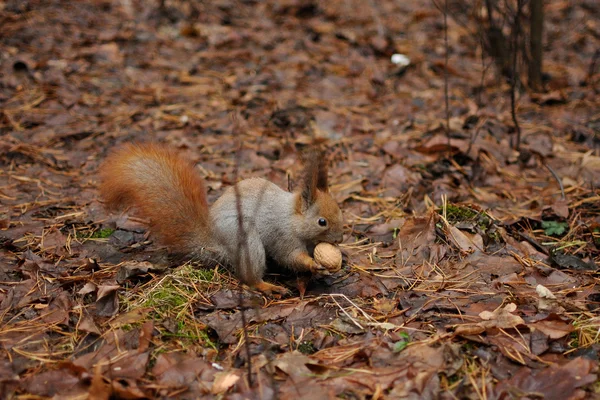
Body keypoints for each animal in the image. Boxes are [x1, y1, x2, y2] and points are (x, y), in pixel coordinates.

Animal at [98, 143, 342, 294]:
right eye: (322, 221)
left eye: (340, 210)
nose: (340, 239)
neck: (292, 218)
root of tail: (214, 243)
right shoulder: (283, 235)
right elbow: (290, 256)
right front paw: (313, 264)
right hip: (246, 241)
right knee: (250, 276)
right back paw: (267, 286)